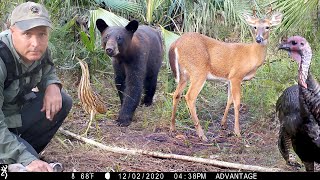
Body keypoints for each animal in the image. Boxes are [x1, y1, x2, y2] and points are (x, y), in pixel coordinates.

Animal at [169, 12, 282, 142]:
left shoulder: (229, 78)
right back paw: (201, 134)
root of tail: (175, 44)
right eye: (255, 27)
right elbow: (237, 102)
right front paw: (237, 132)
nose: (259, 39)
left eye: (268, 27)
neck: (251, 55)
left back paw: (173, 127)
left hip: (184, 74)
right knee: (190, 96)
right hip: (198, 71)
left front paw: (223, 124)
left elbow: (229, 99)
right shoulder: (236, 76)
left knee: (176, 94)